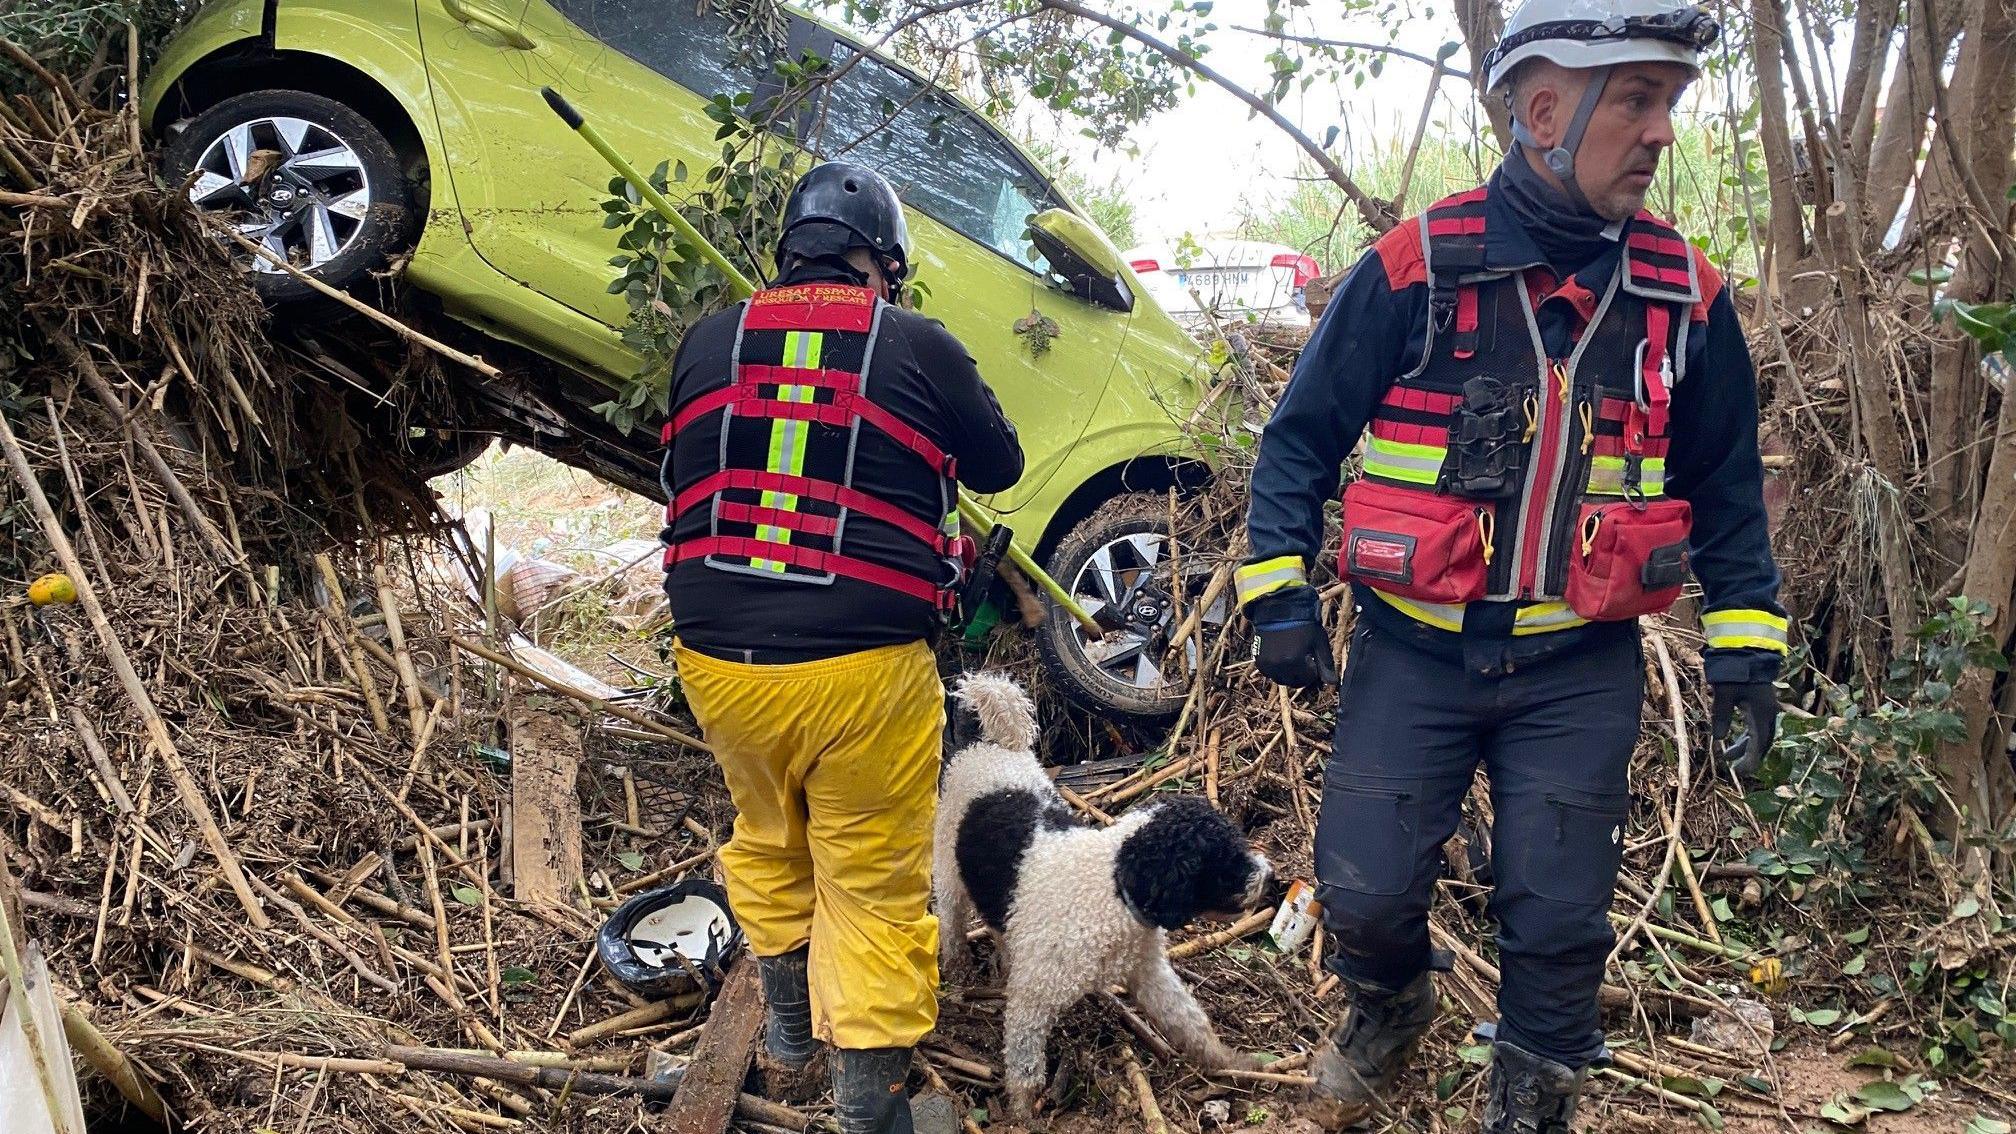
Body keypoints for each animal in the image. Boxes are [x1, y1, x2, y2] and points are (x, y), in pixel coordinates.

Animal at [931, 669, 1274, 1113]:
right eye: (1222, 860)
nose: (1271, 878)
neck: (1113, 887)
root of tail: (988, 746)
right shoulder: (1032, 999)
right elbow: (1025, 1065)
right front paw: (1022, 1113)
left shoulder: (1150, 972)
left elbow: (1189, 1021)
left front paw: (1231, 1062)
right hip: (948, 875)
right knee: (953, 928)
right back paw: (959, 975)